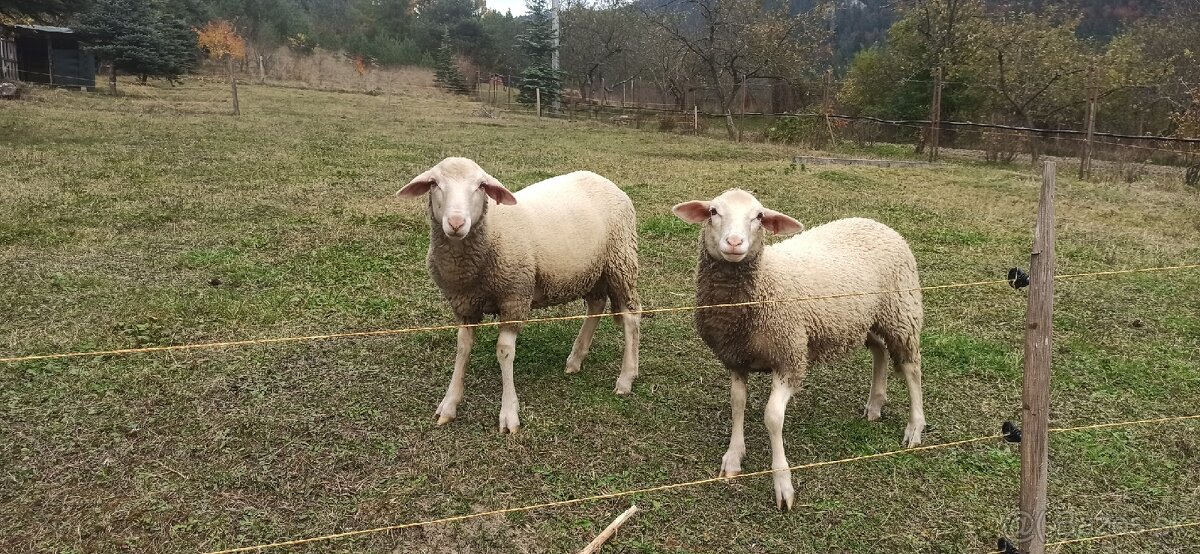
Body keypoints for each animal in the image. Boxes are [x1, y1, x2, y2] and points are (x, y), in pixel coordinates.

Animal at [398, 155, 643, 431]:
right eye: (434, 183)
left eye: (481, 186)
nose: (456, 223)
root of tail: (604, 180)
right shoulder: (464, 304)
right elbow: (463, 347)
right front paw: (449, 405)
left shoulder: (514, 297)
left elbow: (504, 351)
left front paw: (509, 414)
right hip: (592, 270)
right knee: (596, 305)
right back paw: (575, 360)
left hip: (620, 260)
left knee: (631, 316)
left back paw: (626, 378)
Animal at [672, 188, 921, 508]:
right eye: (714, 211)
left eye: (759, 216)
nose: (734, 243)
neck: (761, 287)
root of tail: (876, 223)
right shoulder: (735, 358)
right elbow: (737, 403)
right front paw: (734, 457)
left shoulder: (790, 357)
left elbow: (772, 417)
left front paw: (783, 484)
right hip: (863, 318)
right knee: (879, 350)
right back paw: (875, 404)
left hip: (902, 311)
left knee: (911, 368)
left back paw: (915, 428)